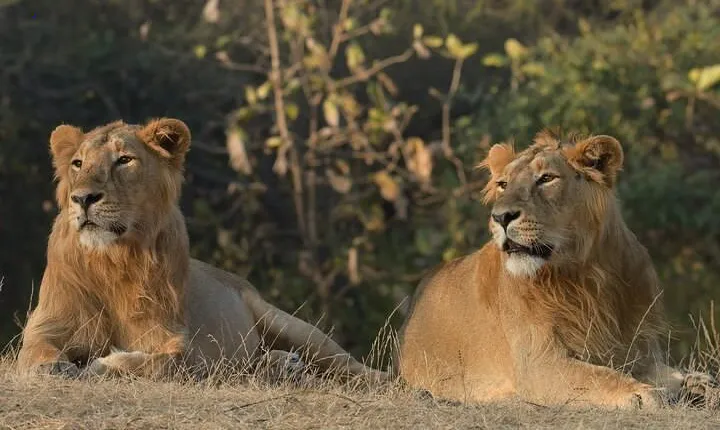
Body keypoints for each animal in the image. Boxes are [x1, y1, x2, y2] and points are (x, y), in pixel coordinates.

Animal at [16, 117, 388, 384]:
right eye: (78, 163)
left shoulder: (180, 340)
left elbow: (165, 363)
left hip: (289, 324)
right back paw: (282, 366)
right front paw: (55, 368)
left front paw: (104, 364)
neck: (113, 260)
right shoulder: (47, 325)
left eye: (124, 160)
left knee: (351, 367)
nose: (82, 198)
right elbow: (36, 352)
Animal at [397, 131, 714, 409]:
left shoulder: (639, 351)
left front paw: (697, 384)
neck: (586, 272)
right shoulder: (538, 365)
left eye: (546, 178)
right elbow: (597, 375)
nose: (500, 217)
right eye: (503, 184)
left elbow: (671, 372)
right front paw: (641, 393)